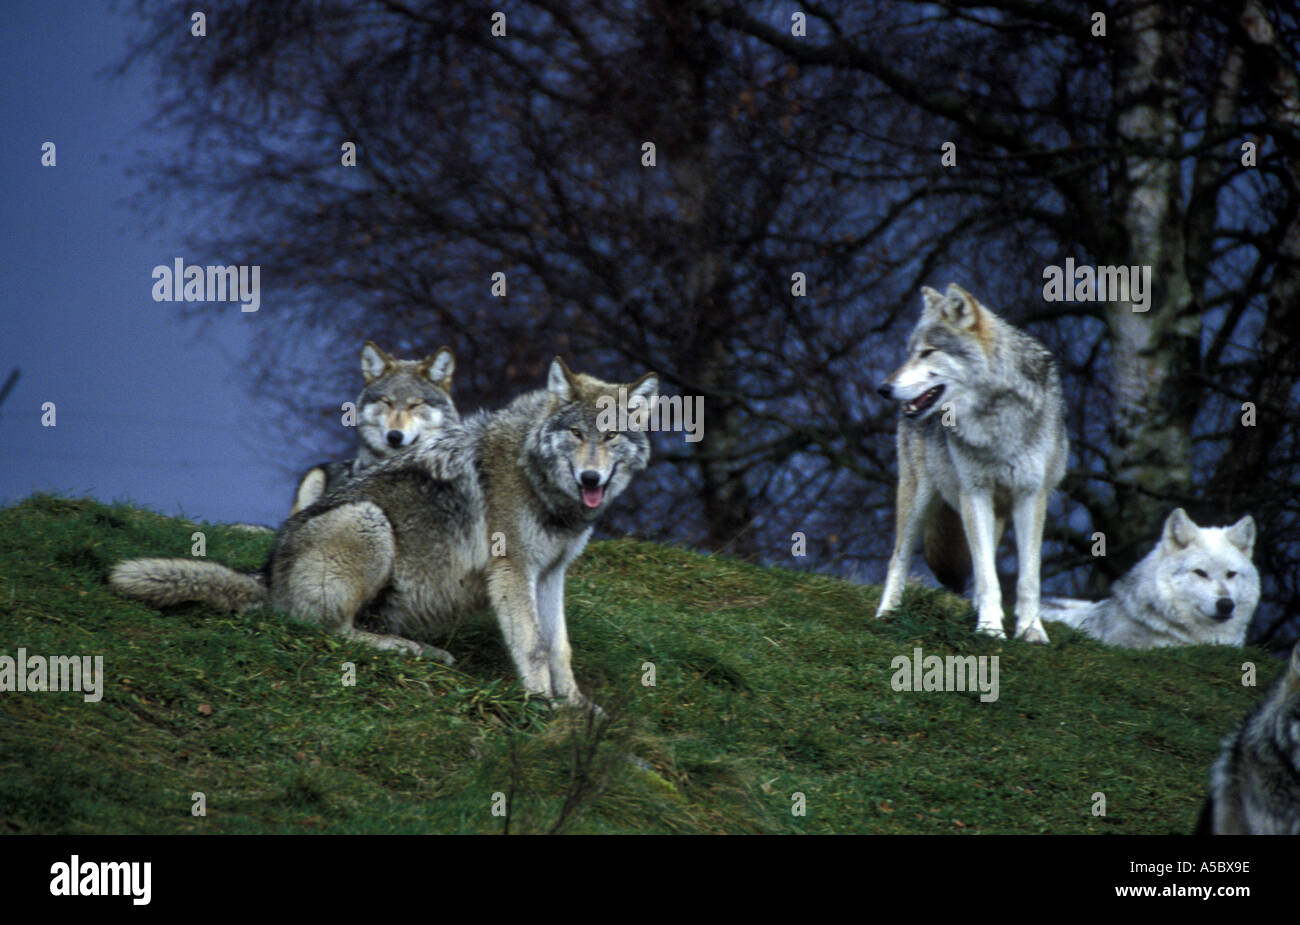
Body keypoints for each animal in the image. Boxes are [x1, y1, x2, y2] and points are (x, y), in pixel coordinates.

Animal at [875, 283, 1069, 643]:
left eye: (928, 352)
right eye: (910, 352)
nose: (884, 388)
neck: (994, 417)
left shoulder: (1030, 495)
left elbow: (1028, 577)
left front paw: (1031, 630)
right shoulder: (973, 493)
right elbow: (988, 576)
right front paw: (990, 629)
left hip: (995, 512)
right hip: (919, 498)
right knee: (898, 558)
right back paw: (887, 614)